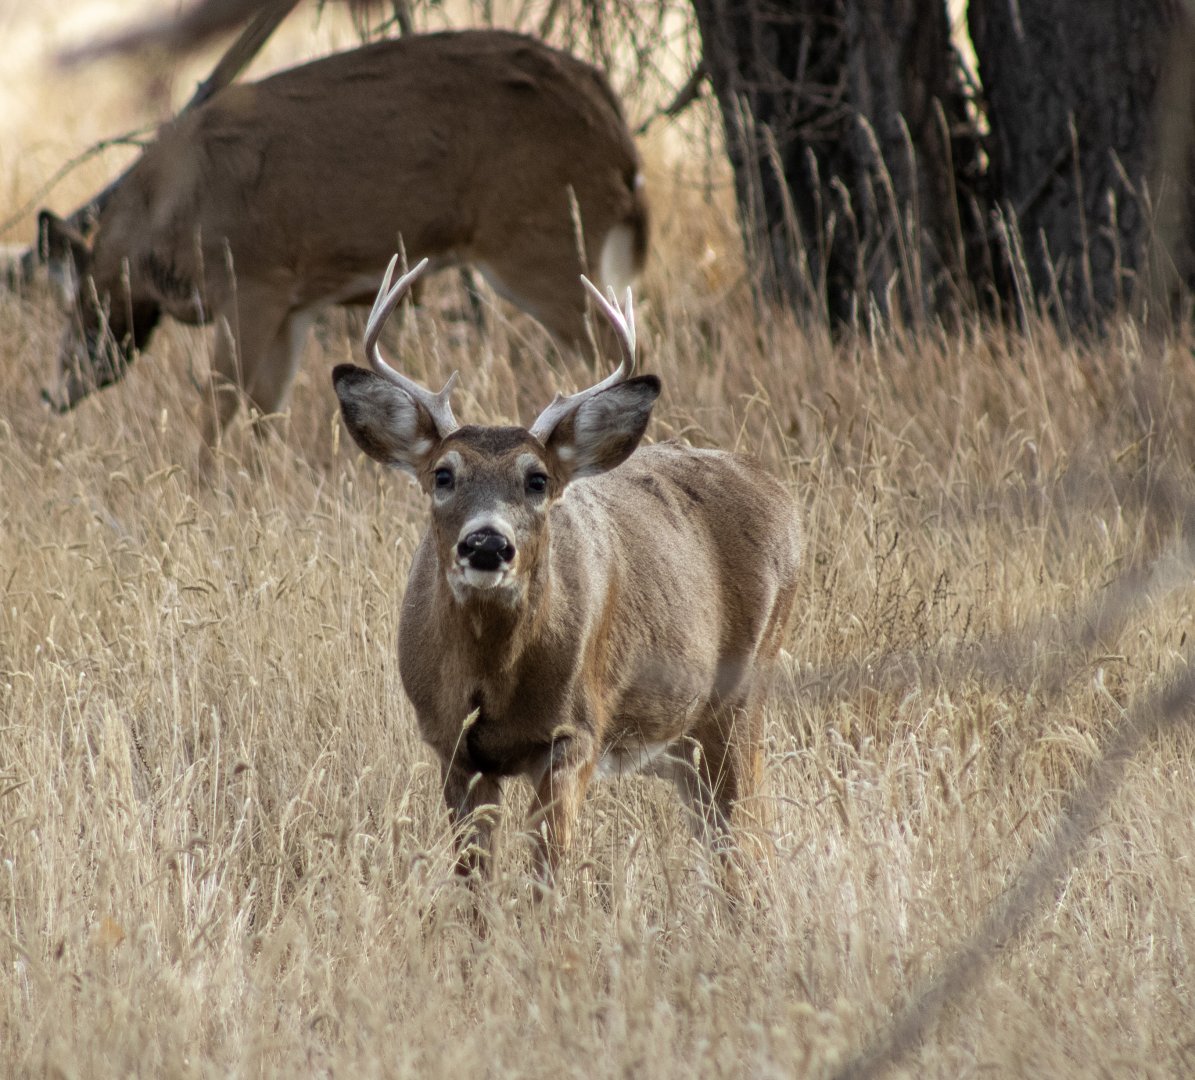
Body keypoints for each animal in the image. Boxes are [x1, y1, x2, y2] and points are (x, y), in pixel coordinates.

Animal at [38, 29, 648, 447]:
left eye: (74, 310)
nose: (50, 391)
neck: (164, 212)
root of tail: (610, 111)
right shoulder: (295, 305)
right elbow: (265, 411)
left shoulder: (252, 281)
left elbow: (217, 405)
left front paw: (201, 493)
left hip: (541, 243)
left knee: (620, 350)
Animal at [332, 255, 802, 905]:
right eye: (443, 474)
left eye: (536, 479)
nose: (486, 543)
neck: (493, 678)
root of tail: (781, 496)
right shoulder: (450, 743)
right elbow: (473, 882)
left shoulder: (574, 734)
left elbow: (547, 878)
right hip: (684, 743)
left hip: (741, 698)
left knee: (750, 841)